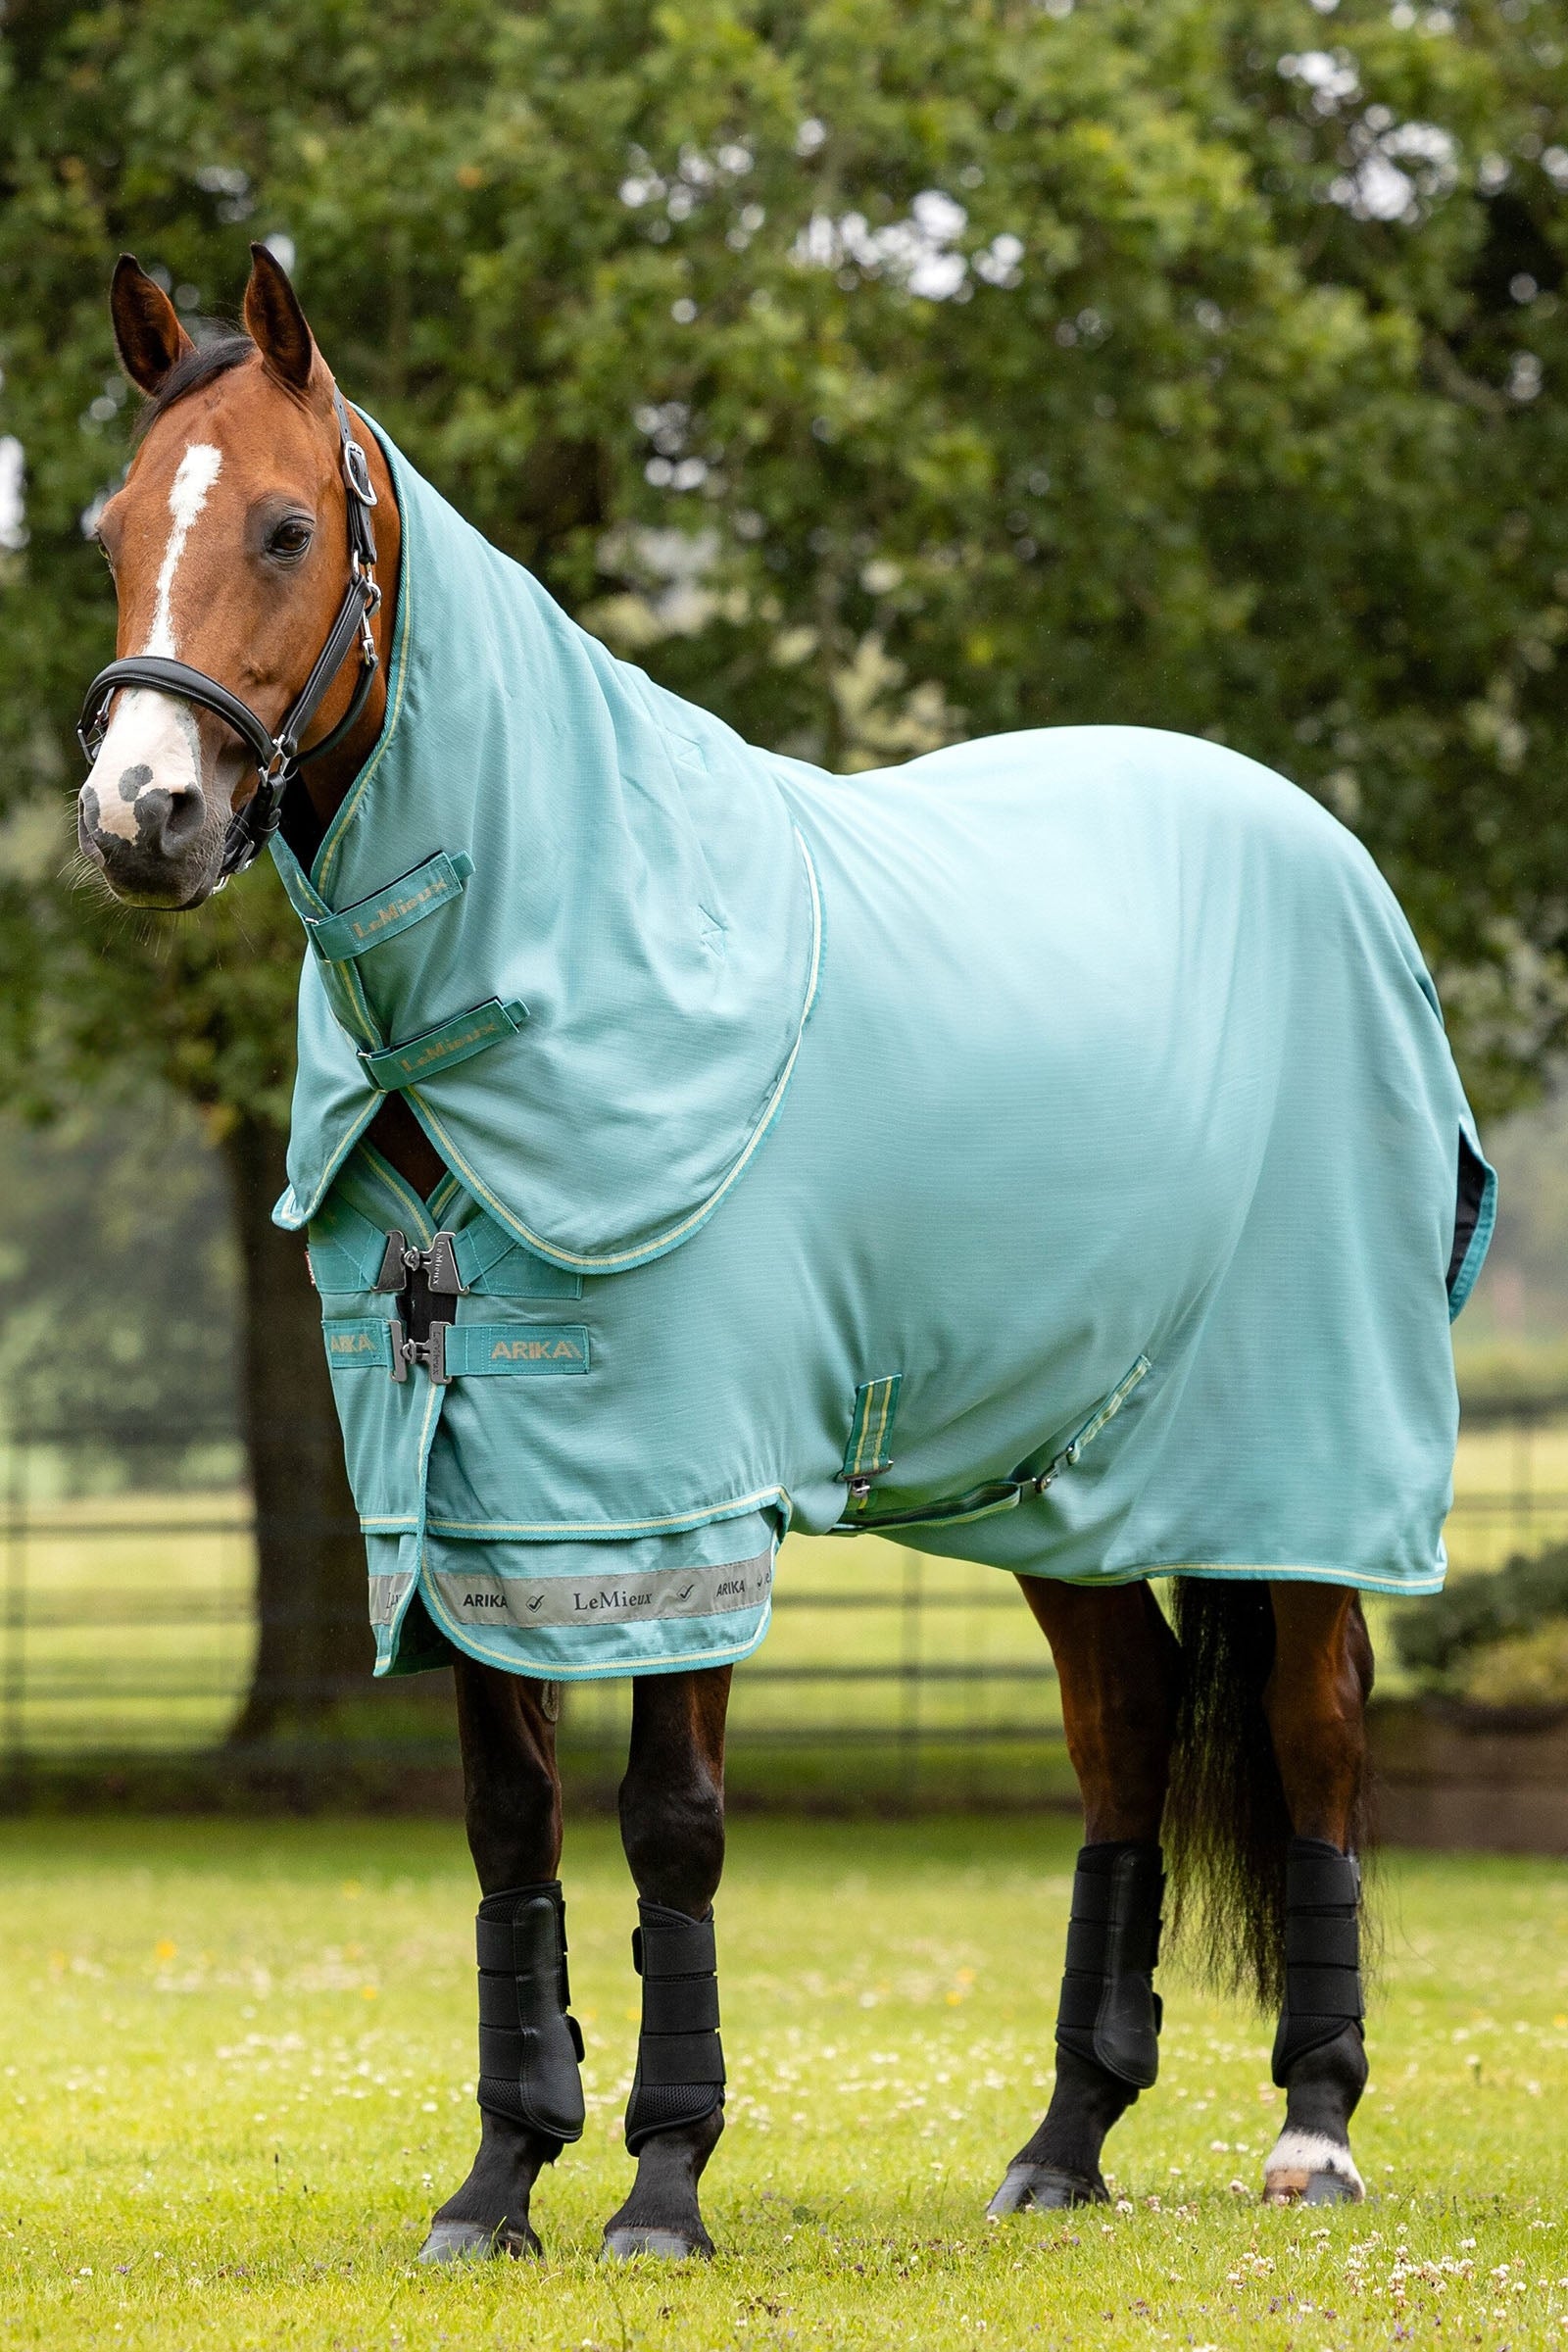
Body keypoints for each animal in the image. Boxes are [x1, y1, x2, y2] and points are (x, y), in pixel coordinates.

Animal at [75, 244, 1493, 2261]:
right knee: (1127, 1725)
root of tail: (1329, 852)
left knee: (1316, 1728)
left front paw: (663, 2185)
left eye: (282, 526)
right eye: (112, 529)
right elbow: (509, 1828)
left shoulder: (678, 1487)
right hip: (1059, 1472)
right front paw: (499, 2181)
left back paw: (1315, 2128)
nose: (142, 817)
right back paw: (1064, 2142)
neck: (551, 961)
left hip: (1298, 1452)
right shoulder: (473, 1487)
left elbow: (671, 1820)